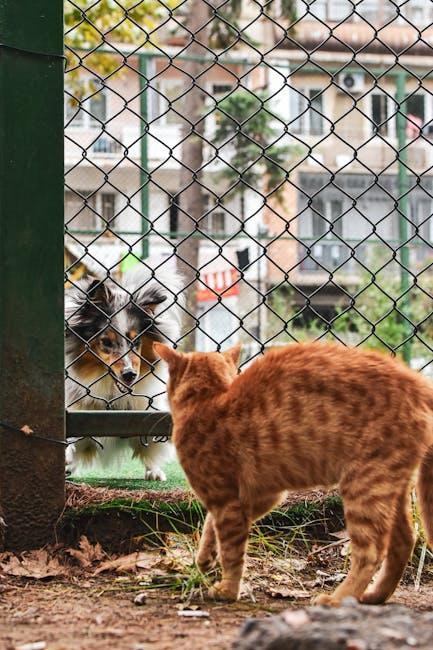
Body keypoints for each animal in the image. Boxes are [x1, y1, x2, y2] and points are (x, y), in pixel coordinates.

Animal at [153, 340, 432, 604]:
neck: (209, 400)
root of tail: (419, 383)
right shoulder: (261, 496)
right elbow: (210, 526)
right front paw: (204, 558)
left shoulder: (228, 502)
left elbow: (231, 552)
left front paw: (229, 589)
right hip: (392, 489)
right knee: (404, 541)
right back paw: (375, 596)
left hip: (365, 487)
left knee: (371, 552)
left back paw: (338, 598)